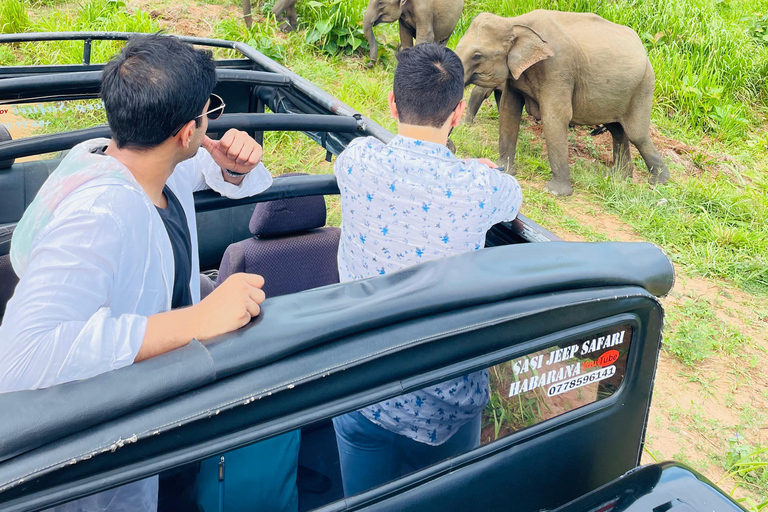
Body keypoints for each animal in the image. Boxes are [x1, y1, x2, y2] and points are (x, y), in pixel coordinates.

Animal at [460, 11, 668, 198]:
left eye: (477, 56)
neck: (514, 21)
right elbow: (508, 110)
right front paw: (502, 169)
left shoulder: (558, 69)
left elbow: (555, 117)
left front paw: (554, 192)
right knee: (617, 130)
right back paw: (619, 177)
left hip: (643, 87)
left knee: (637, 135)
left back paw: (658, 182)